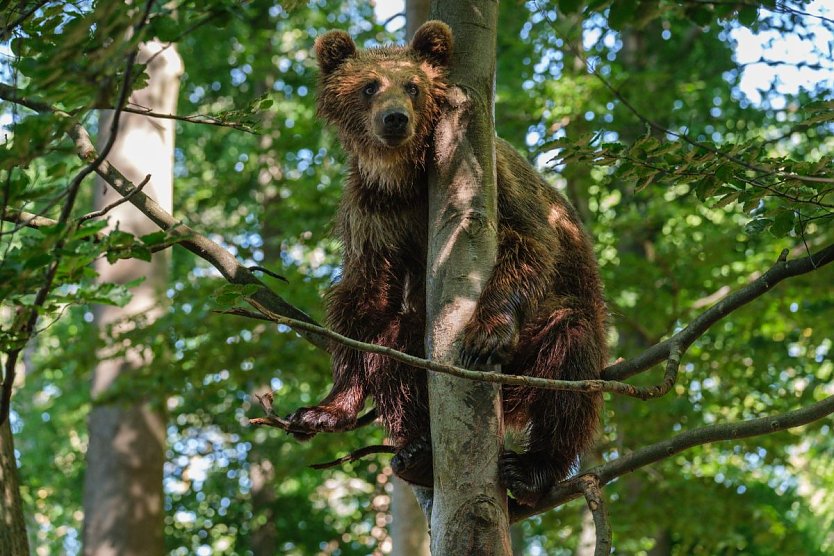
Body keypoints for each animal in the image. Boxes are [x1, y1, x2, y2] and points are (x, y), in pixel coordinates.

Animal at [286, 20, 604, 508]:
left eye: (413, 86)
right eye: (369, 86)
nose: (394, 118)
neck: (405, 178)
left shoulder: (492, 182)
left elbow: (530, 241)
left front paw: (485, 334)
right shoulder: (373, 215)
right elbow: (363, 306)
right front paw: (323, 409)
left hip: (541, 350)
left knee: (571, 353)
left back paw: (533, 468)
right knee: (394, 346)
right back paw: (418, 449)